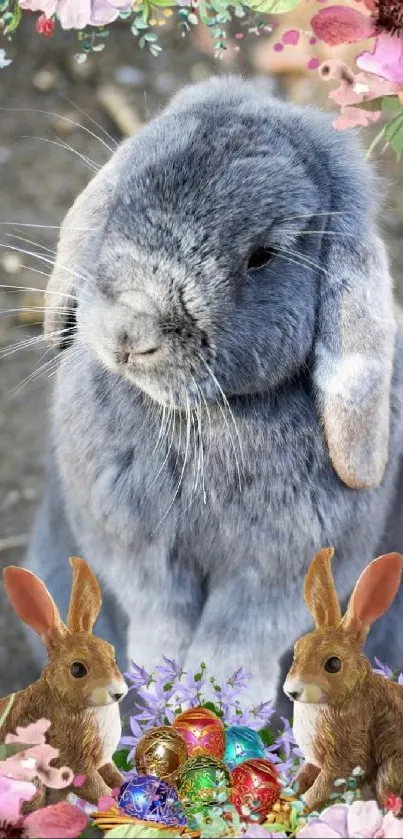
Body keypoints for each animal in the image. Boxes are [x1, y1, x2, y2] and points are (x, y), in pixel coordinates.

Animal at [24, 80, 403, 708]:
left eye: (263, 256)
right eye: (121, 197)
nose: (130, 331)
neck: (204, 419)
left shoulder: (277, 572)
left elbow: (240, 637)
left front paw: (218, 702)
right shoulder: (135, 548)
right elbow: (159, 613)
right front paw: (164, 686)